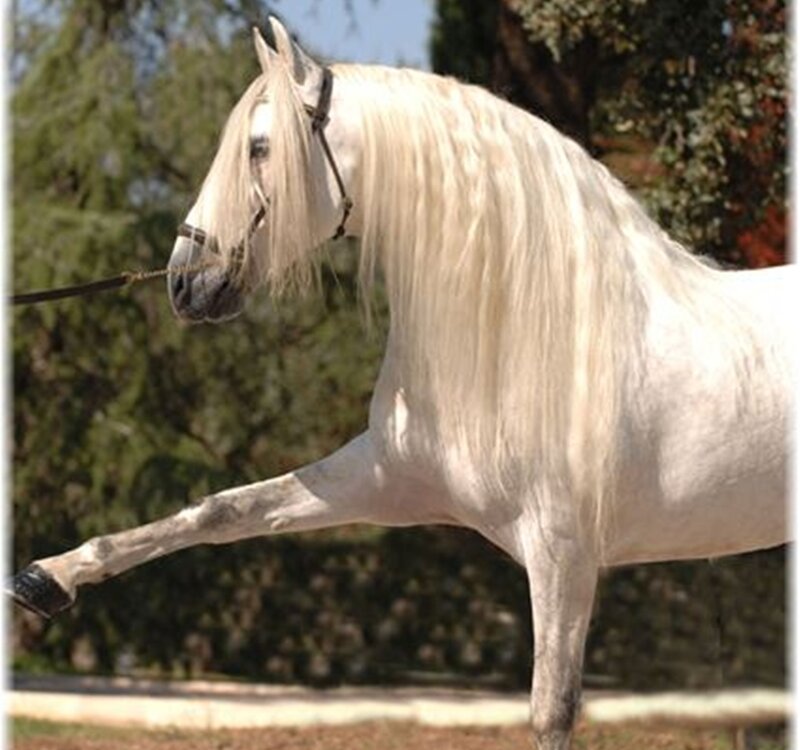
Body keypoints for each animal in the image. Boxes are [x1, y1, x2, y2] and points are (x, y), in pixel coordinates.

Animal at [10, 18, 792, 750]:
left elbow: (552, 710)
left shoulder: (563, 553)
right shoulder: (385, 478)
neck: (531, 328)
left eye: (259, 148)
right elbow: (219, 511)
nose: (182, 282)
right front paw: (48, 577)